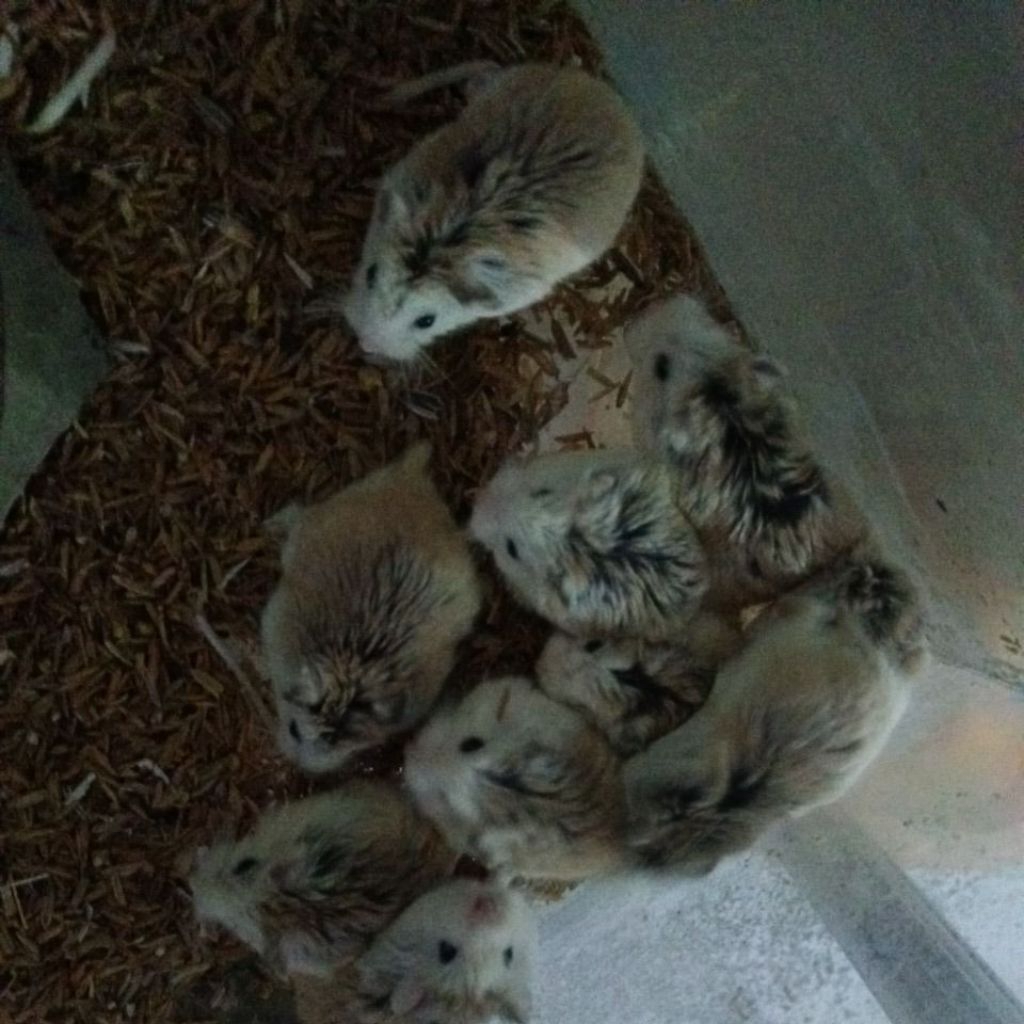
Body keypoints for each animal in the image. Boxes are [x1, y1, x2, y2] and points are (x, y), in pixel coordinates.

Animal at [261, 441, 482, 774]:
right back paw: (269, 524)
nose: (300, 764)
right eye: (294, 730)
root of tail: (411, 479)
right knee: (296, 513)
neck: (352, 670)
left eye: (336, 744)